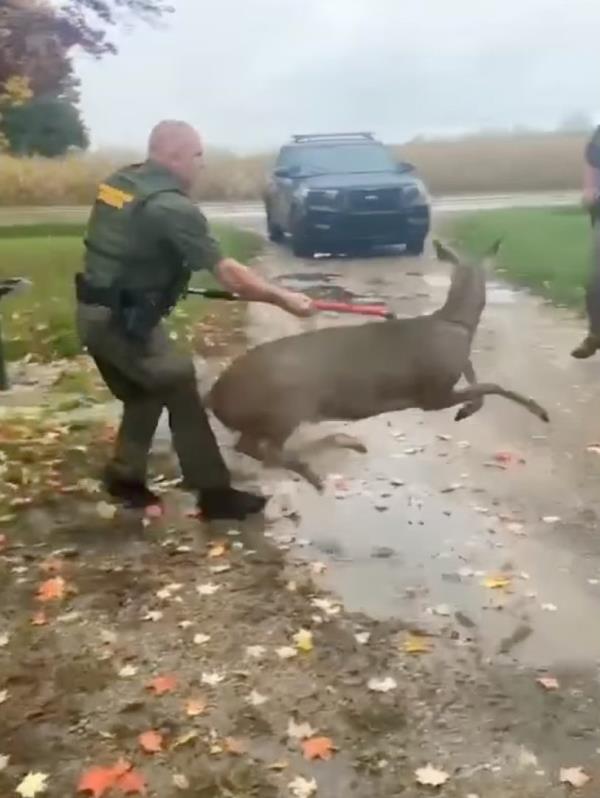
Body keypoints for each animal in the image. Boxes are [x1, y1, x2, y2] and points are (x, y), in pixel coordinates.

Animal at [209, 238, 552, 490]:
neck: (455, 325)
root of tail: (214, 397)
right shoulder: (431, 394)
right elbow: (494, 385)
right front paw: (540, 412)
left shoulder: (450, 378)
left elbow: (480, 384)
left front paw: (466, 410)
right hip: (288, 403)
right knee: (264, 451)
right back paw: (317, 469)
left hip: (278, 413)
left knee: (254, 447)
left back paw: (344, 446)